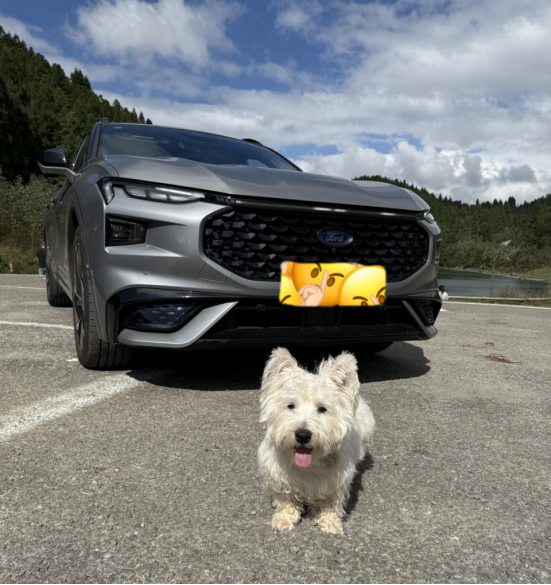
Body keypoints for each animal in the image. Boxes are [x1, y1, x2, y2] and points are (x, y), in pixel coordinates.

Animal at [258, 347, 375, 534]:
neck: (309, 464)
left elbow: (330, 502)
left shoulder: (335, 480)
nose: (302, 435)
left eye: (322, 409)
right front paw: (285, 518)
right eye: (290, 405)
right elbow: (286, 498)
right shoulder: (278, 474)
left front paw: (329, 522)